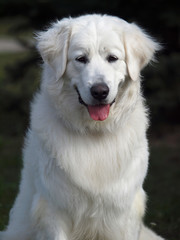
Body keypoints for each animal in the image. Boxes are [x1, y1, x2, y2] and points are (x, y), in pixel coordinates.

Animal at [0, 15, 165, 240]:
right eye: (81, 59)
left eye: (112, 58)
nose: (100, 91)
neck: (94, 132)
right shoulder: (53, 209)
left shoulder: (125, 211)